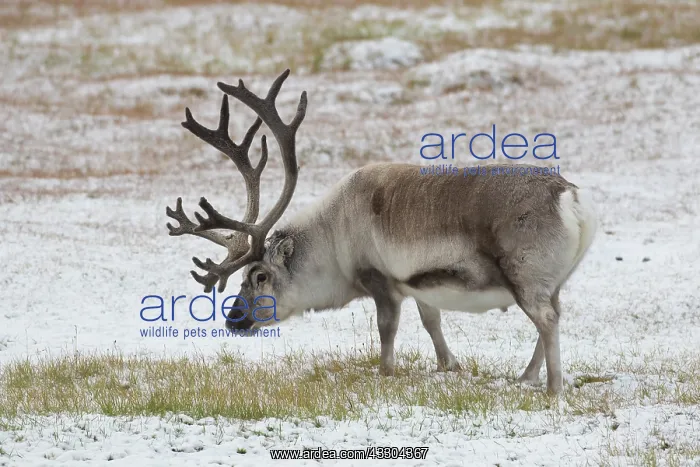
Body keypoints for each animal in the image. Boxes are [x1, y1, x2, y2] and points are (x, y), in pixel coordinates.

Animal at [165, 69, 597, 395]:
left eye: (259, 275)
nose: (233, 320)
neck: (333, 236)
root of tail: (569, 197)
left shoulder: (381, 280)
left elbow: (386, 330)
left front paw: (385, 372)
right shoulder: (419, 285)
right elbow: (432, 323)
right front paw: (450, 366)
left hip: (524, 276)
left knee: (547, 320)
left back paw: (553, 388)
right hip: (553, 281)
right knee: (554, 315)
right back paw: (526, 377)